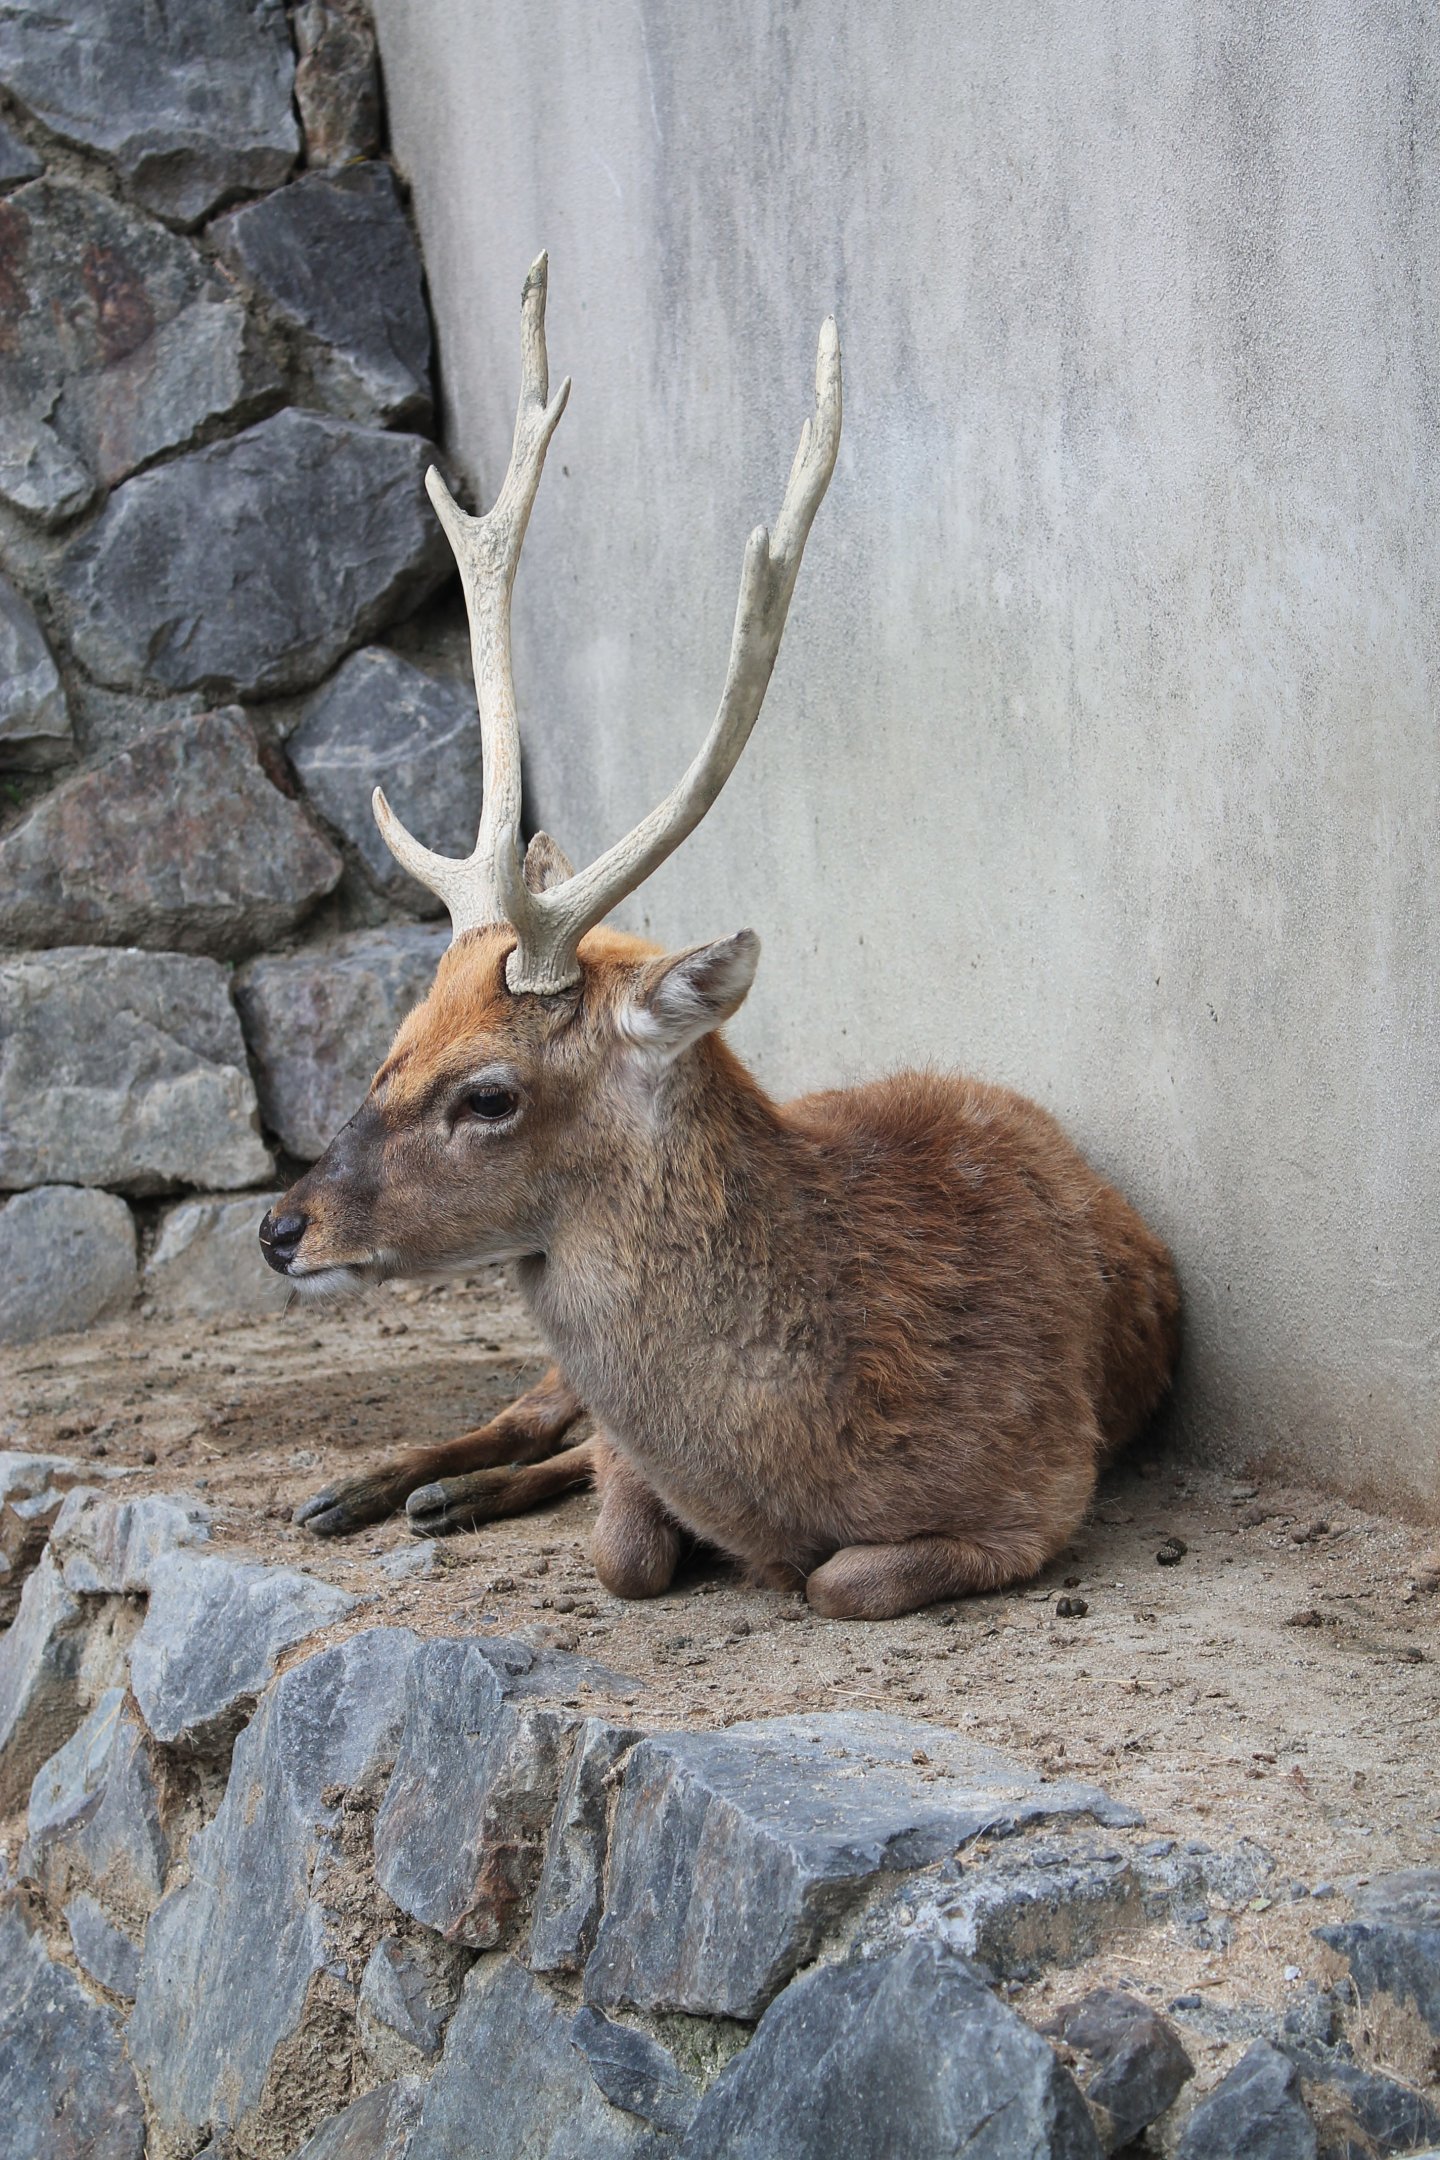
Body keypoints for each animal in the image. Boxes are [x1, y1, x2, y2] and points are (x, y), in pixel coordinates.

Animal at [259, 256, 1180, 1621]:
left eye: (488, 1094)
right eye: (391, 1042)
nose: (285, 1226)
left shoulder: (1044, 1486)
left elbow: (838, 1581)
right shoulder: (641, 1482)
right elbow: (623, 1548)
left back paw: (435, 1498)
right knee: (534, 1415)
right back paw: (364, 1489)